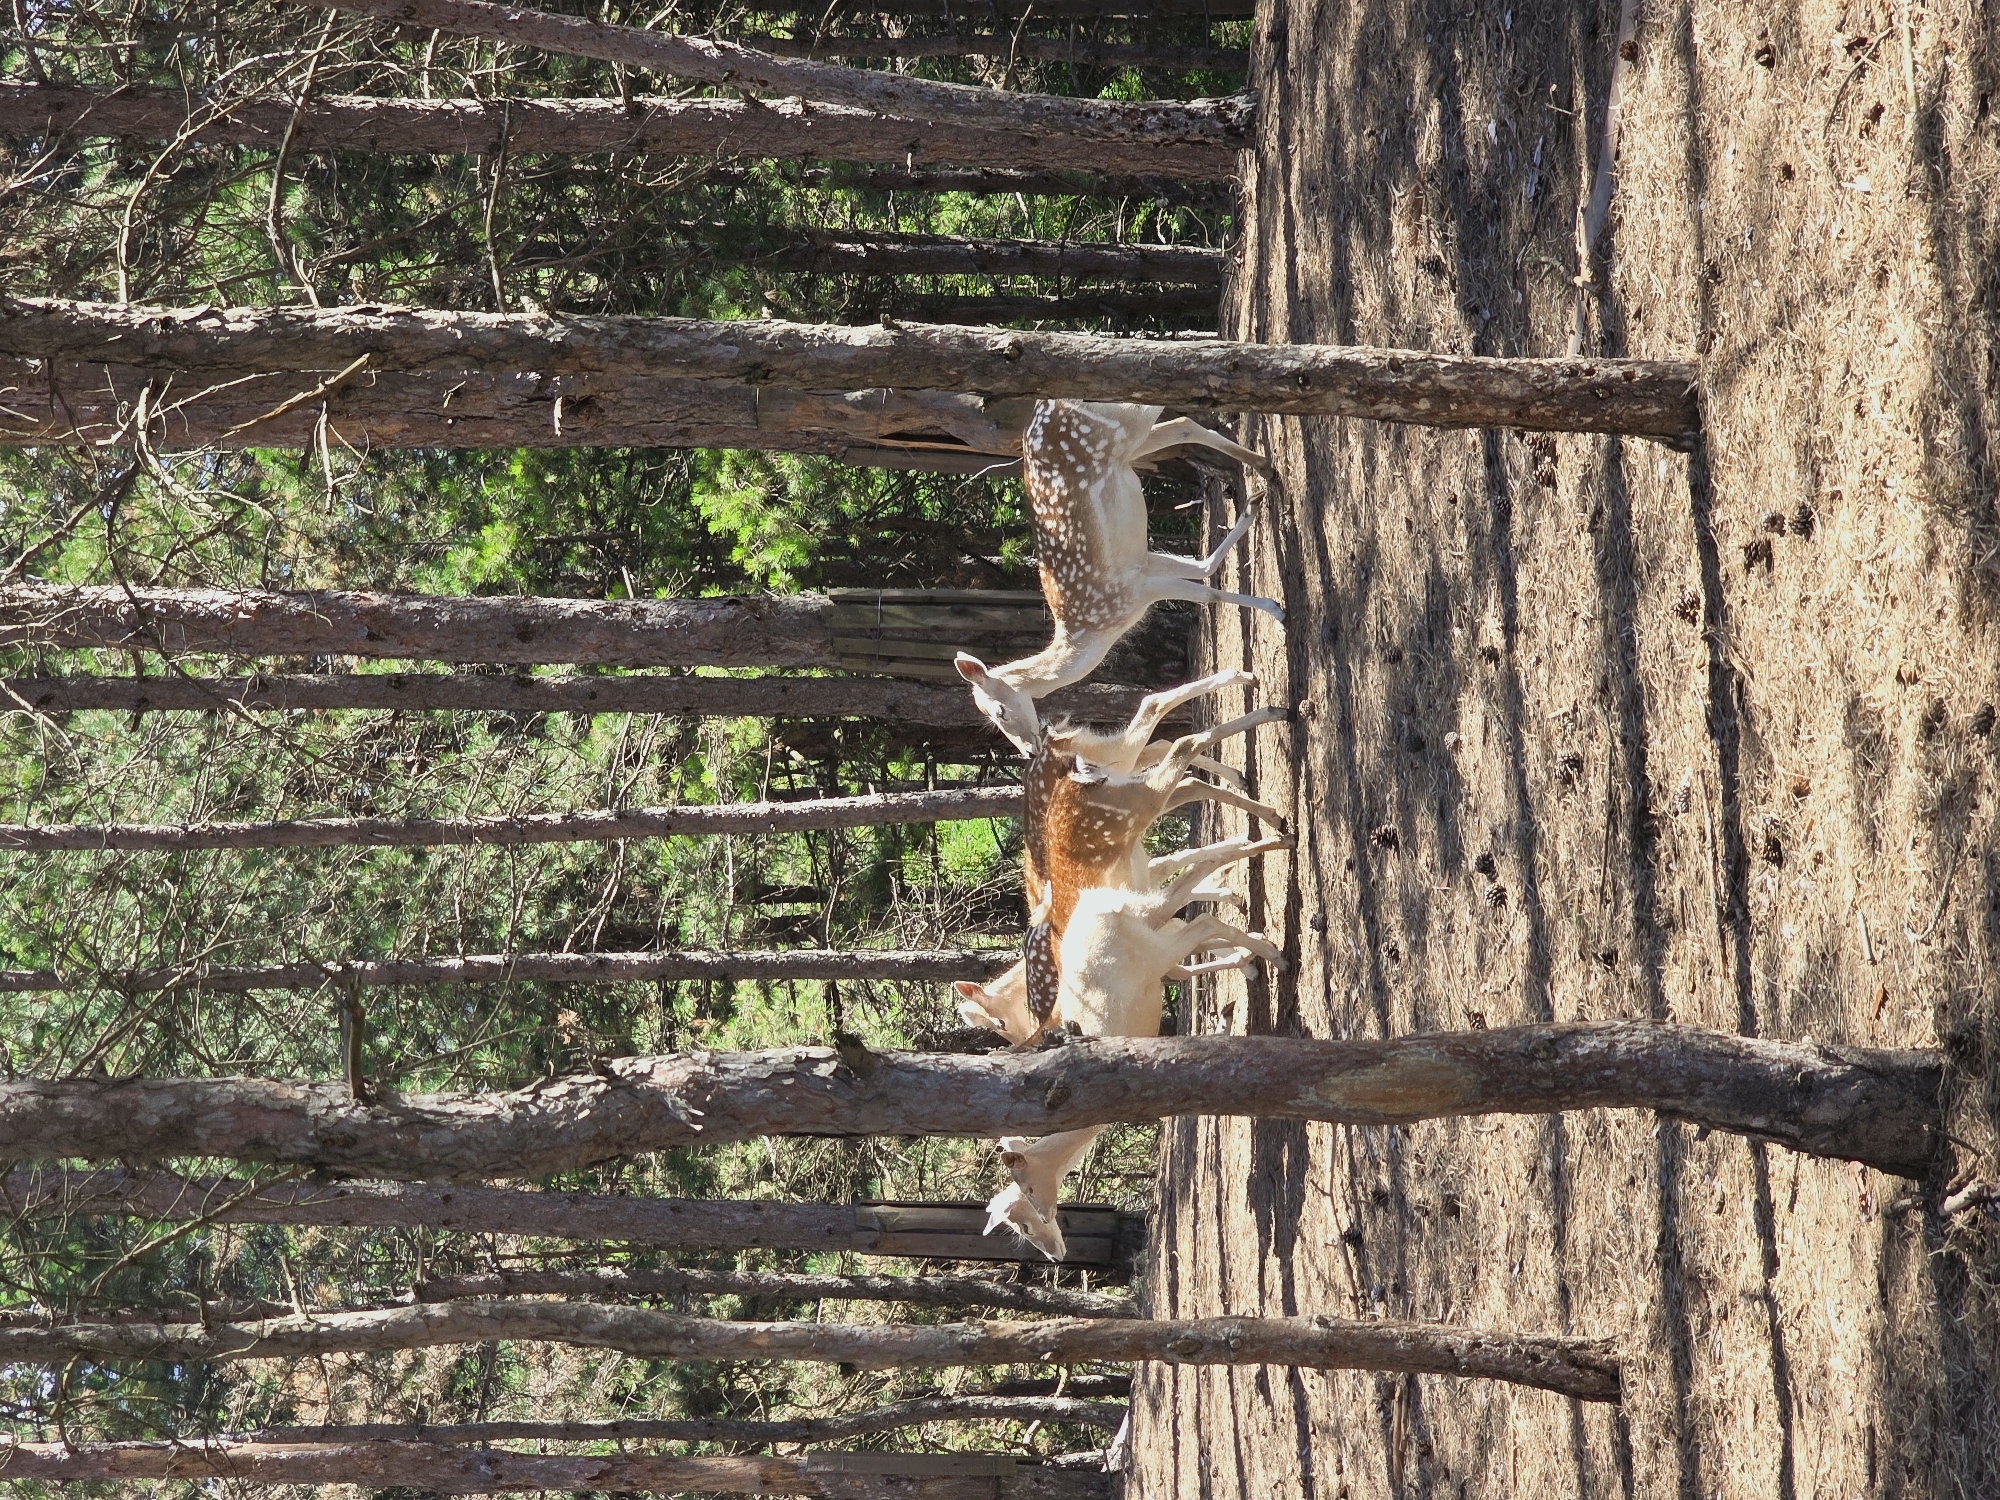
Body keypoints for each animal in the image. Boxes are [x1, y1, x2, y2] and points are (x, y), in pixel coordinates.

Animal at [955, 399, 1285, 756]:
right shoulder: (1142, 566)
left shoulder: (1135, 592)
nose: (1029, 751)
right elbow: (1204, 567)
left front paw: (1278, 611)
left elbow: (1208, 593)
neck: (1094, 634)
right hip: (1132, 442)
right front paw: (1251, 508)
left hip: (1126, 422)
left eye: (999, 712)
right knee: (1183, 425)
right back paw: (1264, 468)